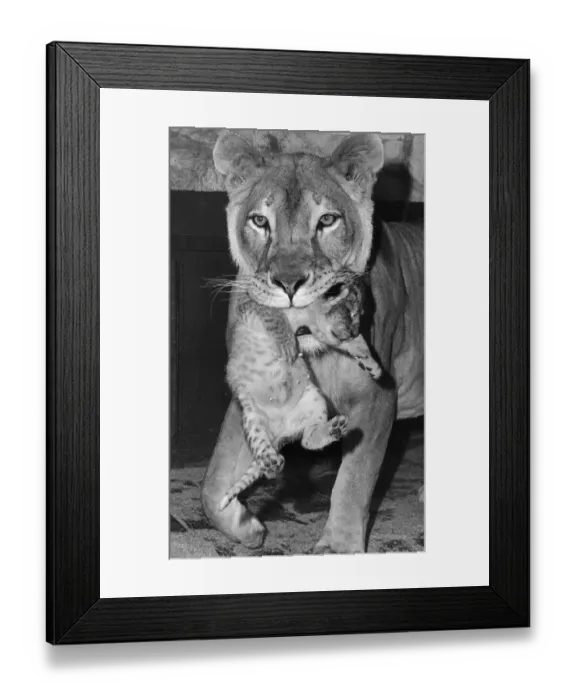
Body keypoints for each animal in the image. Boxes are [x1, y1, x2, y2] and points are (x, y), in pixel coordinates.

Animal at [200, 130, 424, 554]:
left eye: (327, 221)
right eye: (260, 221)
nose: (289, 285)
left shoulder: (377, 399)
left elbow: (353, 481)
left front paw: (338, 547)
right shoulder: (247, 397)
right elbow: (213, 483)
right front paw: (248, 528)